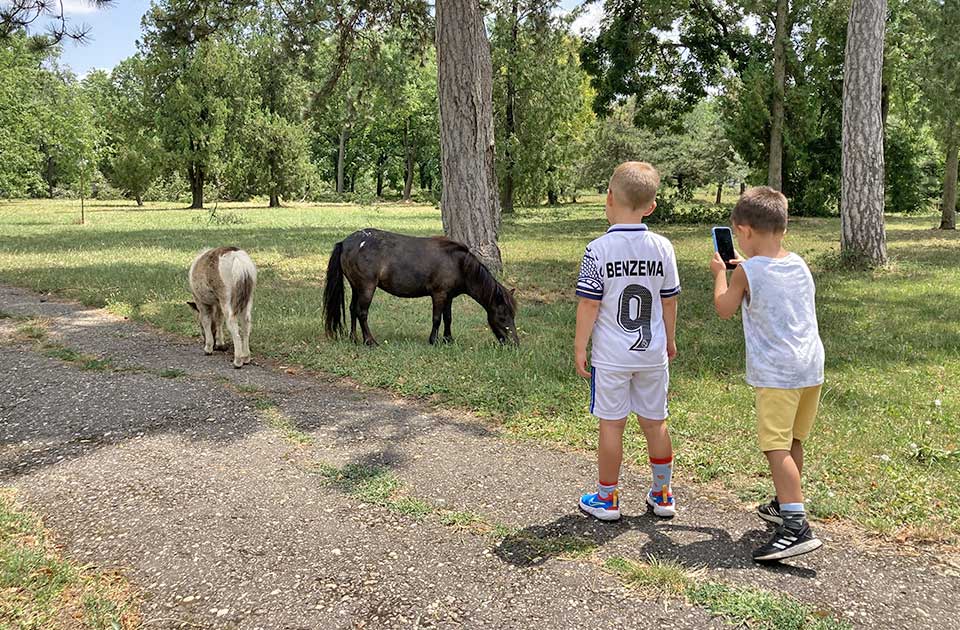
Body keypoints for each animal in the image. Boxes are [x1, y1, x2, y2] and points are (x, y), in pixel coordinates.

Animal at [322, 228, 516, 348]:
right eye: (503, 316)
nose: (515, 343)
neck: (457, 263)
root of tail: (345, 242)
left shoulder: (448, 297)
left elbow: (448, 318)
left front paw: (448, 339)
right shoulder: (439, 295)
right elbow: (437, 318)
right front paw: (433, 340)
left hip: (357, 287)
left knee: (352, 309)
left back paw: (354, 338)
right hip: (366, 288)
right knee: (362, 313)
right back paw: (369, 341)